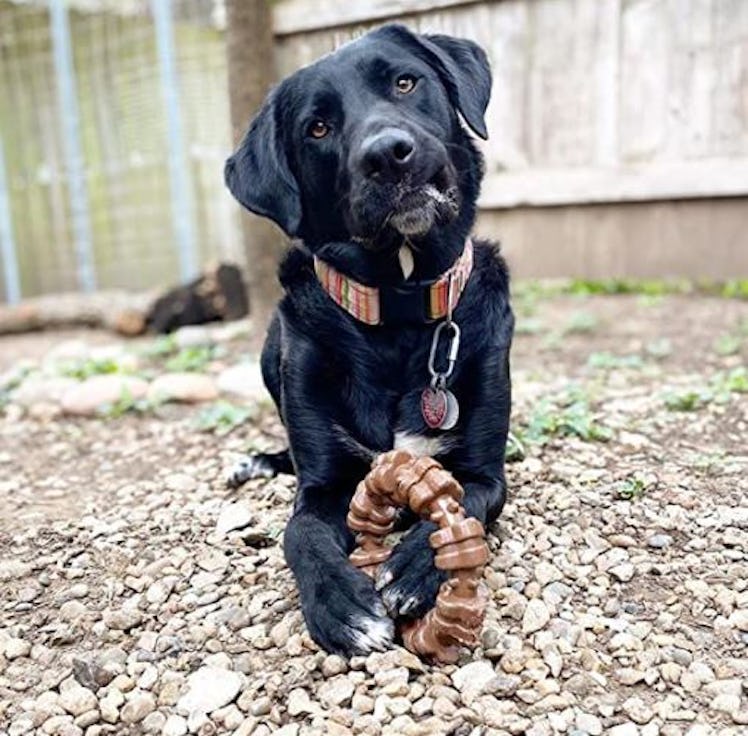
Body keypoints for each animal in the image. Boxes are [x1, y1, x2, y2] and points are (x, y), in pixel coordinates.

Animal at [225, 23, 512, 656]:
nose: (386, 153)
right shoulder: (323, 486)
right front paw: (342, 604)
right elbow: (300, 531)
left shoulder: (486, 474)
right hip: (272, 348)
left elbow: (468, 501)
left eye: (406, 82)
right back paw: (255, 462)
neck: (400, 306)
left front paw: (415, 567)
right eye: (317, 128)